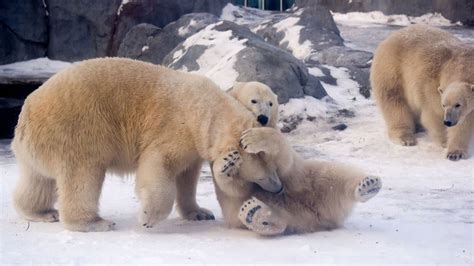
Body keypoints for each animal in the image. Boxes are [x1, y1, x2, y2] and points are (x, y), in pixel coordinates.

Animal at [12, 57, 282, 232]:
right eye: (262, 175)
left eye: (275, 168)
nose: (279, 188)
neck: (204, 108)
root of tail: (26, 116)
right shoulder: (175, 128)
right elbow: (159, 164)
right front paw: (146, 217)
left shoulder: (194, 144)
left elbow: (187, 176)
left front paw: (200, 213)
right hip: (77, 130)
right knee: (83, 175)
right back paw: (94, 222)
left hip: (42, 145)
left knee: (38, 180)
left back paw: (41, 212)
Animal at [211, 128, 382, 236]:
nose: (279, 188)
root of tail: (317, 214)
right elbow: (234, 189)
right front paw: (226, 163)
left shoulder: (285, 170)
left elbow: (285, 159)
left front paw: (253, 138)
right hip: (295, 217)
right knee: (281, 220)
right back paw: (254, 213)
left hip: (313, 178)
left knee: (336, 176)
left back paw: (369, 185)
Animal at [372, 25, 474, 160]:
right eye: (444, 105)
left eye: (458, 104)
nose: (448, 122)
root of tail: (389, 38)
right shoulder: (431, 90)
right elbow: (433, 115)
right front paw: (447, 144)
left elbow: (465, 123)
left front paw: (456, 152)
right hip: (391, 71)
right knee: (394, 103)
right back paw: (406, 137)